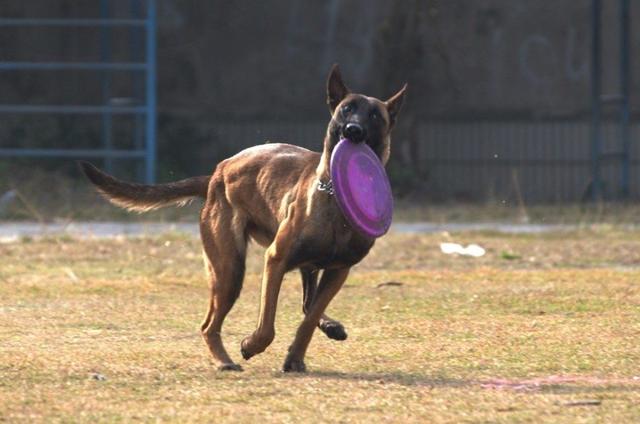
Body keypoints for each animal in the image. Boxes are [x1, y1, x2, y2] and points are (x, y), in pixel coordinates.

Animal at [82, 64, 408, 372]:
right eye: (346, 109)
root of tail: (218, 172)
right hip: (229, 270)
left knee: (306, 304)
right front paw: (251, 345)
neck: (334, 199)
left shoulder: (338, 271)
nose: (353, 131)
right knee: (209, 325)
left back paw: (325, 327)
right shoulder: (276, 260)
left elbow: (307, 319)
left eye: (375, 116)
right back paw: (224, 360)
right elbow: (267, 325)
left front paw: (295, 356)